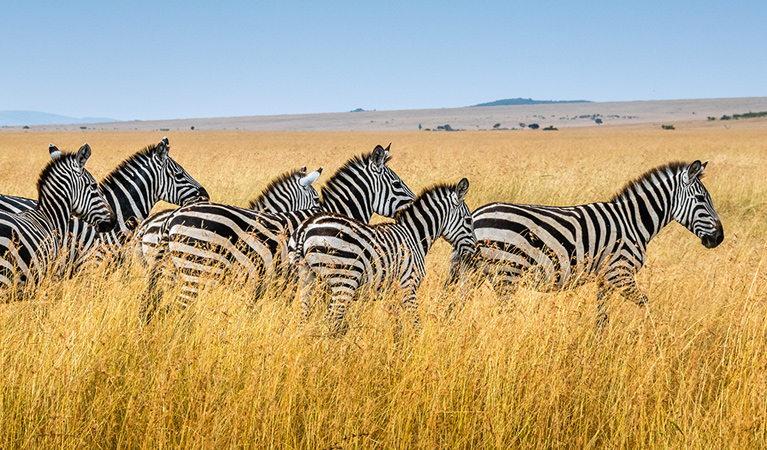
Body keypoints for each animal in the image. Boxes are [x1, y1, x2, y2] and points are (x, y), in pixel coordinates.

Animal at [292, 178, 476, 328]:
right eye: (468, 220)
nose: (475, 250)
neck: (414, 236)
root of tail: (306, 227)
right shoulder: (408, 285)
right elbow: (415, 323)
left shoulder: (393, 292)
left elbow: (397, 324)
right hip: (344, 281)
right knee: (331, 320)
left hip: (307, 277)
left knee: (302, 317)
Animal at [448, 160, 724, 326]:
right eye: (702, 199)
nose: (719, 238)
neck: (634, 221)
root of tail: (476, 215)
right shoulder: (620, 272)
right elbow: (646, 304)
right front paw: (654, 337)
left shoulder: (605, 278)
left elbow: (602, 316)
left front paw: (599, 346)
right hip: (506, 273)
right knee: (502, 315)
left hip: (473, 274)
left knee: (454, 308)